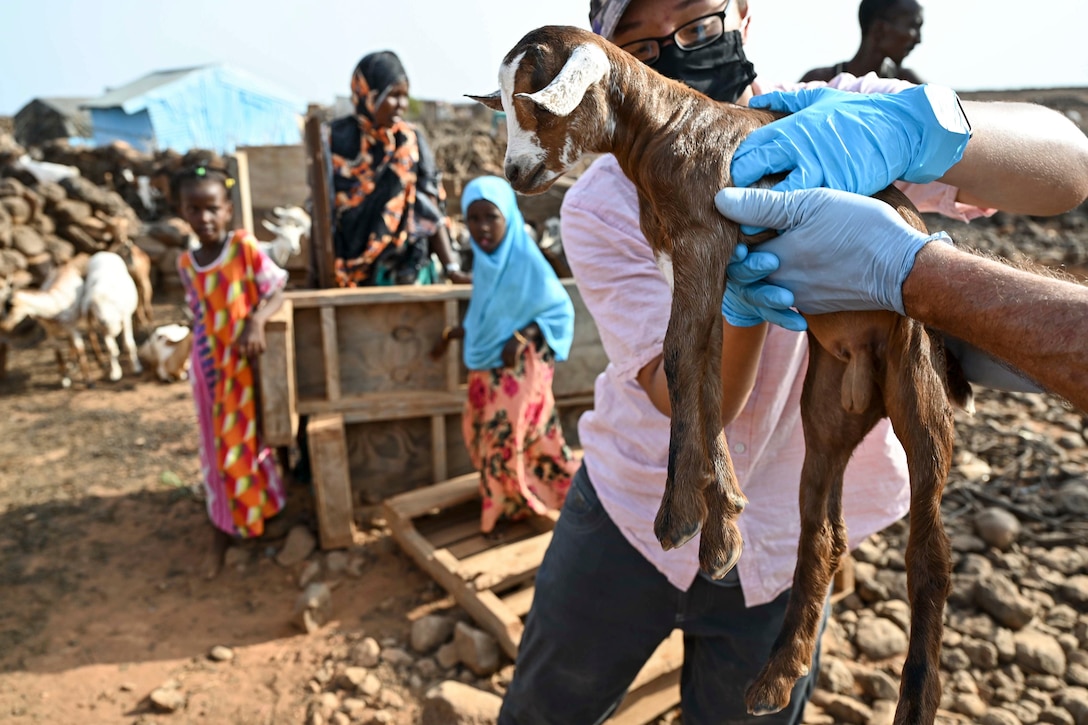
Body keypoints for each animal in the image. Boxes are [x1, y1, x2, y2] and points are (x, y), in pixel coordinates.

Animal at [80, 251, 142, 381]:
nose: (103, 320)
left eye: (109, 303)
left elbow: (130, 344)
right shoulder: (103, 329)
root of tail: (103, 253)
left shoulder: (125, 318)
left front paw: (136, 367)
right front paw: (115, 372)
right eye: (94, 307)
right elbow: (111, 350)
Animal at [472, 25, 974, 718]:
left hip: (914, 370)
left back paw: (916, 700)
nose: (516, 173)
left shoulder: (706, 238)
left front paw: (679, 516)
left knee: (932, 551)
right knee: (822, 531)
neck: (666, 126)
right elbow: (700, 373)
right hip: (828, 405)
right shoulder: (704, 264)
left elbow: (680, 355)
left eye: (537, 103)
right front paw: (721, 528)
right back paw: (776, 677)